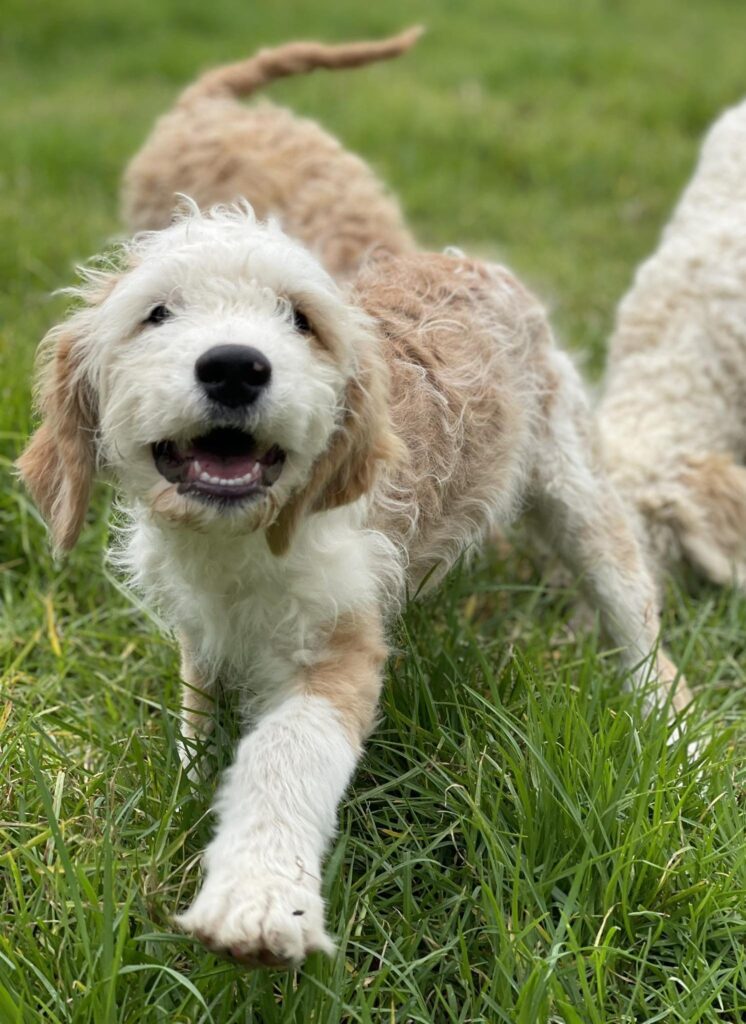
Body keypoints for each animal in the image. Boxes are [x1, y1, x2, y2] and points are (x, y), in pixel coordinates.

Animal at [18, 201, 691, 966]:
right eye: (156, 313)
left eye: (300, 319)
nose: (235, 366)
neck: (241, 542)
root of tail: (473, 262)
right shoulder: (201, 622)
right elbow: (198, 707)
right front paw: (193, 785)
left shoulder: (338, 642)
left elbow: (286, 753)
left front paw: (259, 894)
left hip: (576, 489)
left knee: (635, 609)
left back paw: (675, 727)